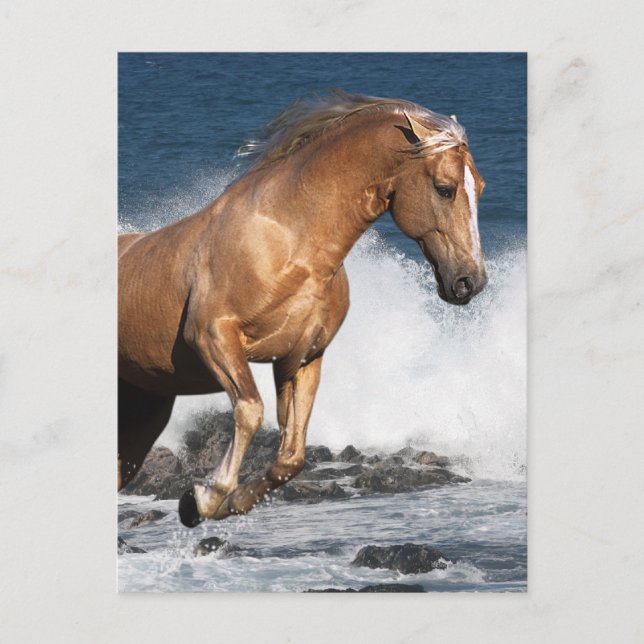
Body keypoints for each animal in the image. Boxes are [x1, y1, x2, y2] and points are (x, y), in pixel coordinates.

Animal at [118, 90, 487, 528]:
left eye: (481, 188)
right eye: (445, 189)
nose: (470, 281)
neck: (289, 243)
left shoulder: (302, 358)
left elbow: (291, 457)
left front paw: (229, 502)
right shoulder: (212, 336)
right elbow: (250, 410)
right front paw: (204, 498)